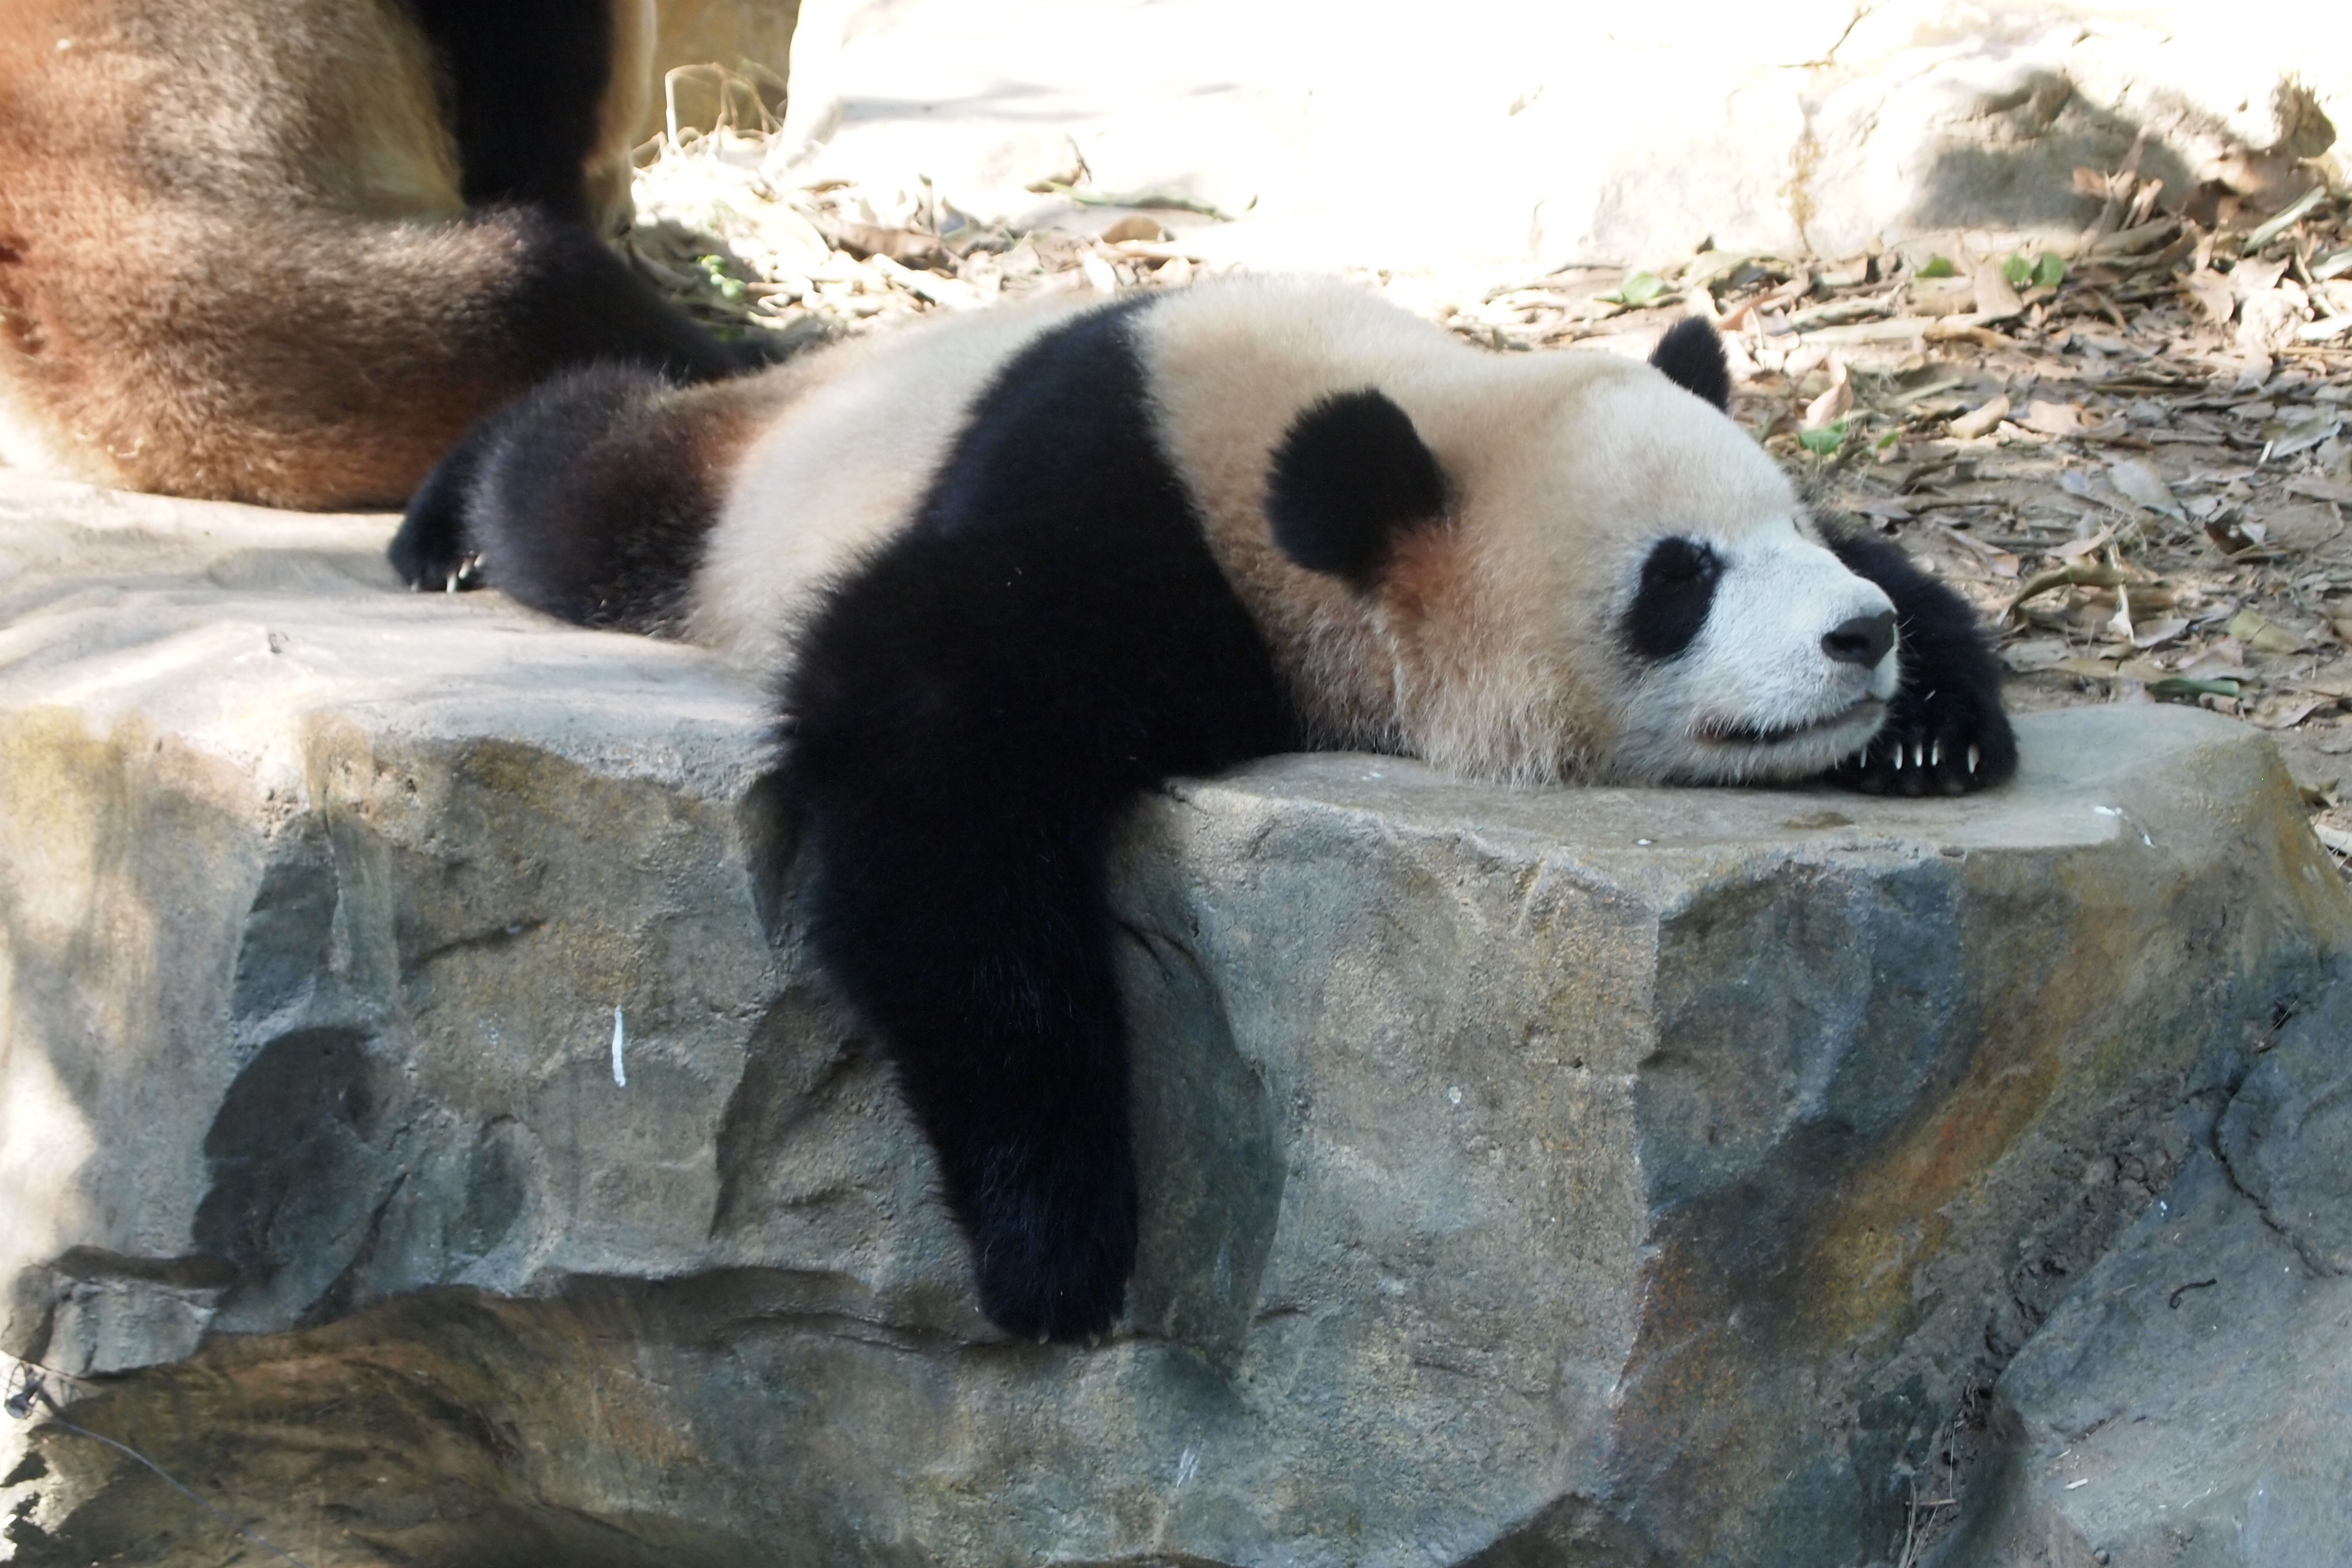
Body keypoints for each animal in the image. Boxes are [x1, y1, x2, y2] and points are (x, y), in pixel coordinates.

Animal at [389, 276, 2017, 1341]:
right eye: (1679, 580)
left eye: (1789, 526)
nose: (1856, 639)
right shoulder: (1115, 510)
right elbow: (933, 763)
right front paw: (1059, 1248)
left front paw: (1935, 726)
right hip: (752, 491)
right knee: (587, 490)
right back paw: (445, 529)